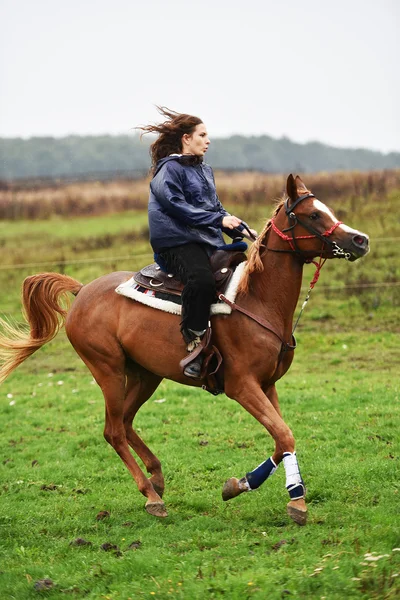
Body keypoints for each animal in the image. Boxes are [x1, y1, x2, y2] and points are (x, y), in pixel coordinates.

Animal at [0, 175, 368, 524]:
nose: (360, 240)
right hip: (108, 370)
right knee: (113, 430)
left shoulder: (267, 385)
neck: (256, 299)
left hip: (145, 375)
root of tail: (82, 290)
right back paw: (151, 495)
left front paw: (241, 486)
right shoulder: (242, 386)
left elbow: (281, 438)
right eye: (313, 214)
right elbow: (285, 435)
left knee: (126, 421)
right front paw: (295, 499)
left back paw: (157, 476)